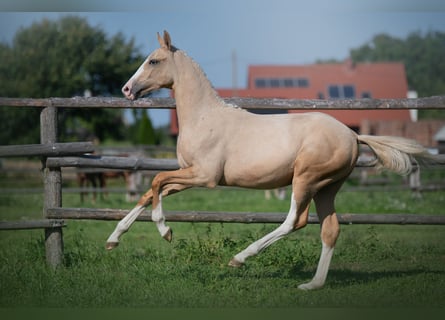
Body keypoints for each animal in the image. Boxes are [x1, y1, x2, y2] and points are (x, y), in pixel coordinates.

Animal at [106, 30, 434, 290]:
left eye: (153, 61)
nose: (126, 89)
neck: (203, 117)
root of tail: (353, 136)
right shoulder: (189, 174)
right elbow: (151, 191)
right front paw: (113, 238)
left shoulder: (204, 176)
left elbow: (156, 181)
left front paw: (166, 231)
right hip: (327, 187)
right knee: (329, 229)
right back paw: (313, 284)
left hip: (306, 179)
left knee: (294, 221)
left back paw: (240, 258)